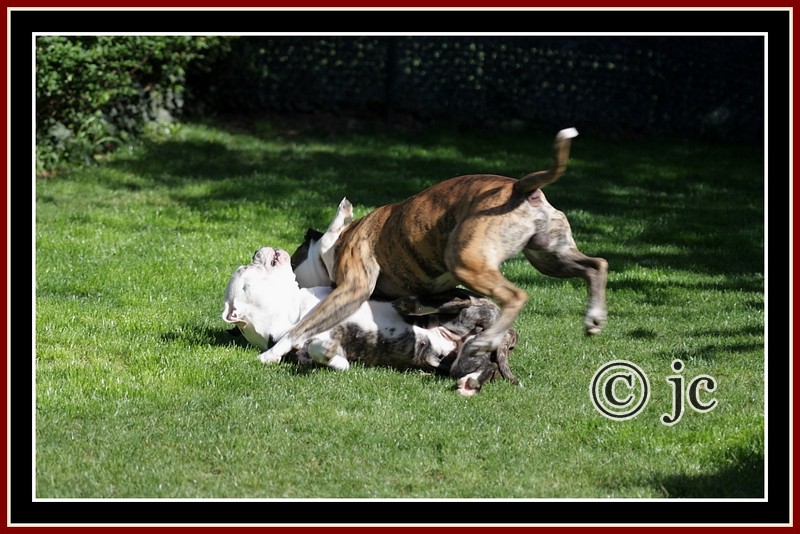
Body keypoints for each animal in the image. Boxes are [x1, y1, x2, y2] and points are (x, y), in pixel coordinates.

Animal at [222, 246, 518, 395]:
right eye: (245, 268)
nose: (256, 251)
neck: (291, 309)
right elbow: (325, 354)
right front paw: (328, 352)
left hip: (463, 312)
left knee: (456, 301)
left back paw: (413, 304)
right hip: (464, 358)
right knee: (485, 367)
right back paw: (470, 383)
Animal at [261, 127, 607, 377]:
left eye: (293, 258)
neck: (338, 241)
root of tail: (520, 187)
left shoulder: (352, 289)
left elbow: (303, 326)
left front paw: (271, 353)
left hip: (468, 261)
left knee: (515, 296)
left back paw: (488, 339)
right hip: (549, 255)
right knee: (596, 265)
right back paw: (594, 317)